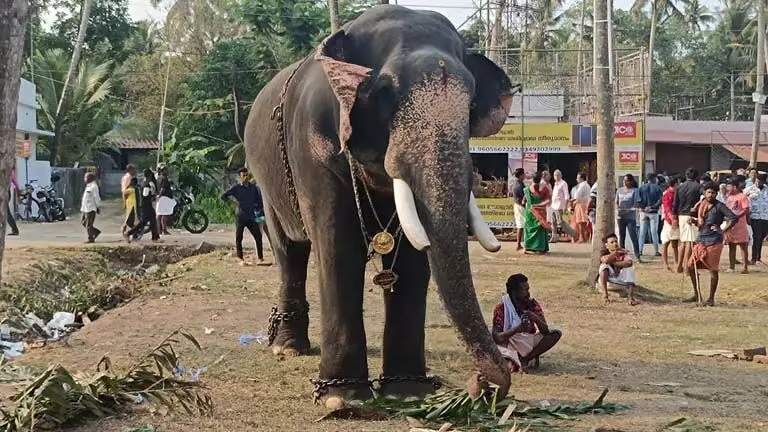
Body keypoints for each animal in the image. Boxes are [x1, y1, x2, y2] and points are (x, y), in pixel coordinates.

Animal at [244, 5, 520, 406]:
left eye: (470, 104)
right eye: (385, 92)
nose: (481, 385)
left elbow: (414, 257)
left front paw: (408, 392)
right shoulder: (313, 147)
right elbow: (338, 248)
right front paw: (342, 399)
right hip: (266, 182)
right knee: (289, 251)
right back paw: (288, 348)